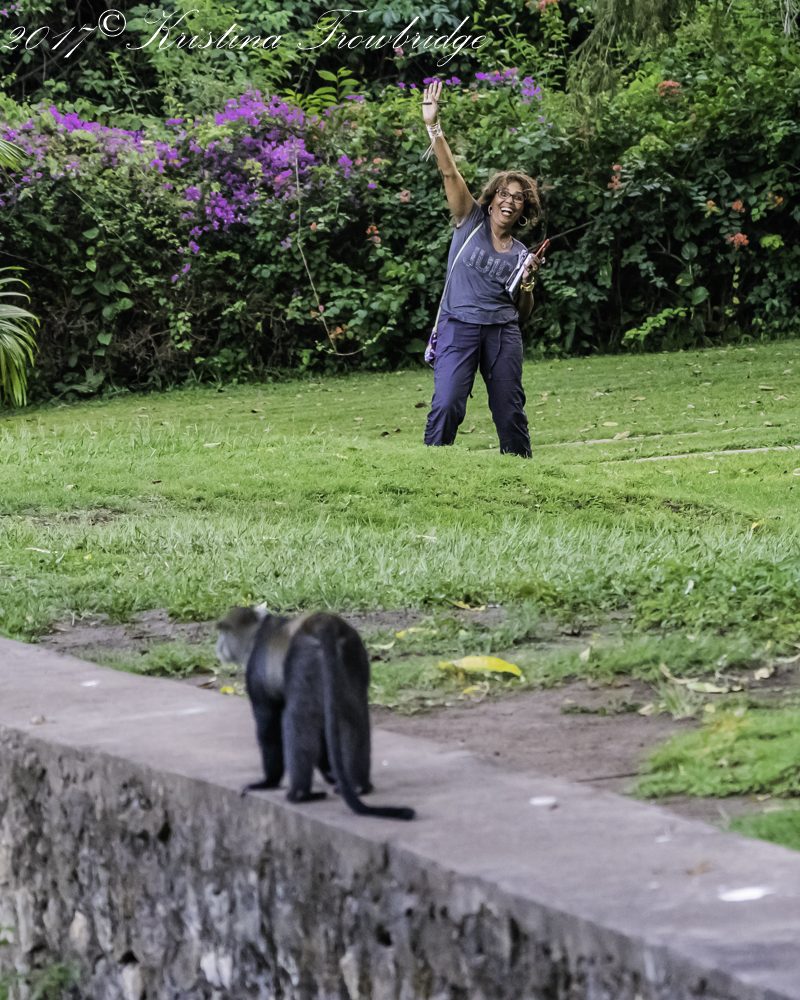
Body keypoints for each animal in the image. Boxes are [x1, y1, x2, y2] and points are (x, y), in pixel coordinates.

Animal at [216, 606, 415, 821]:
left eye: (224, 632)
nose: (218, 646)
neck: (257, 632)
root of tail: (325, 623)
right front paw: (330, 773)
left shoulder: (256, 677)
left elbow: (268, 725)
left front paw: (268, 782)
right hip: (353, 656)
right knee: (354, 718)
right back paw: (359, 786)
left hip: (305, 660)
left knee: (297, 720)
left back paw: (300, 794)